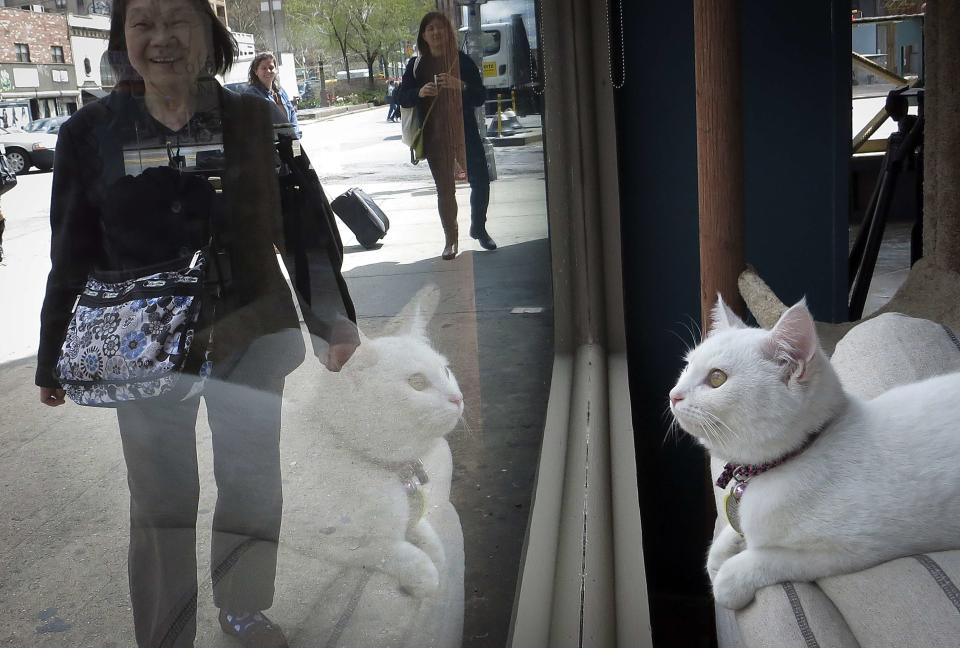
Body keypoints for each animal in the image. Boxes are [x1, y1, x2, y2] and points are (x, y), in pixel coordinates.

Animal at [672, 296, 960, 612]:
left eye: (716, 378)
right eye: (686, 366)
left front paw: (730, 578)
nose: (674, 394)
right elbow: (731, 534)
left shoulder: (859, 546)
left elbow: (774, 557)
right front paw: (720, 553)